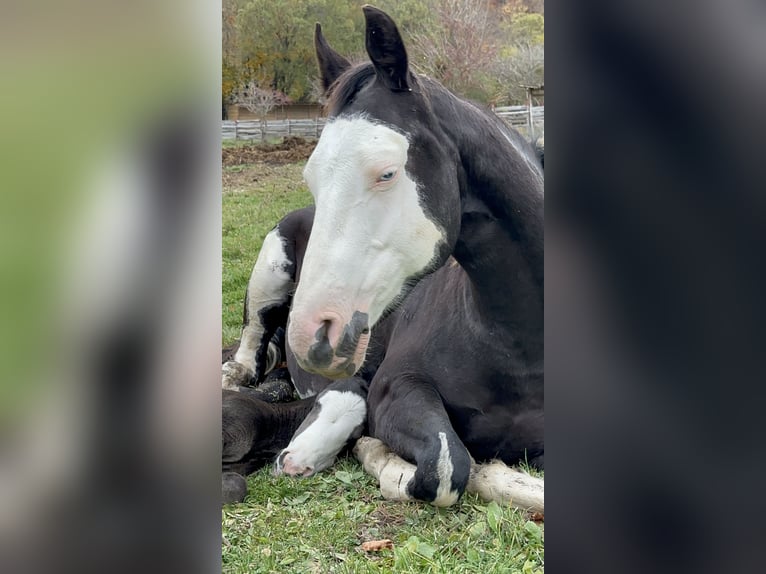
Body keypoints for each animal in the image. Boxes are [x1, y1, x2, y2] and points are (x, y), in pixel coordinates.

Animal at [222, 5, 543, 507]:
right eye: (311, 177)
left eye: (387, 173)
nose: (310, 334)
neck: (518, 344)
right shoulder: (397, 387)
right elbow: (447, 468)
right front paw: (375, 454)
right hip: (268, 277)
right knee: (248, 352)